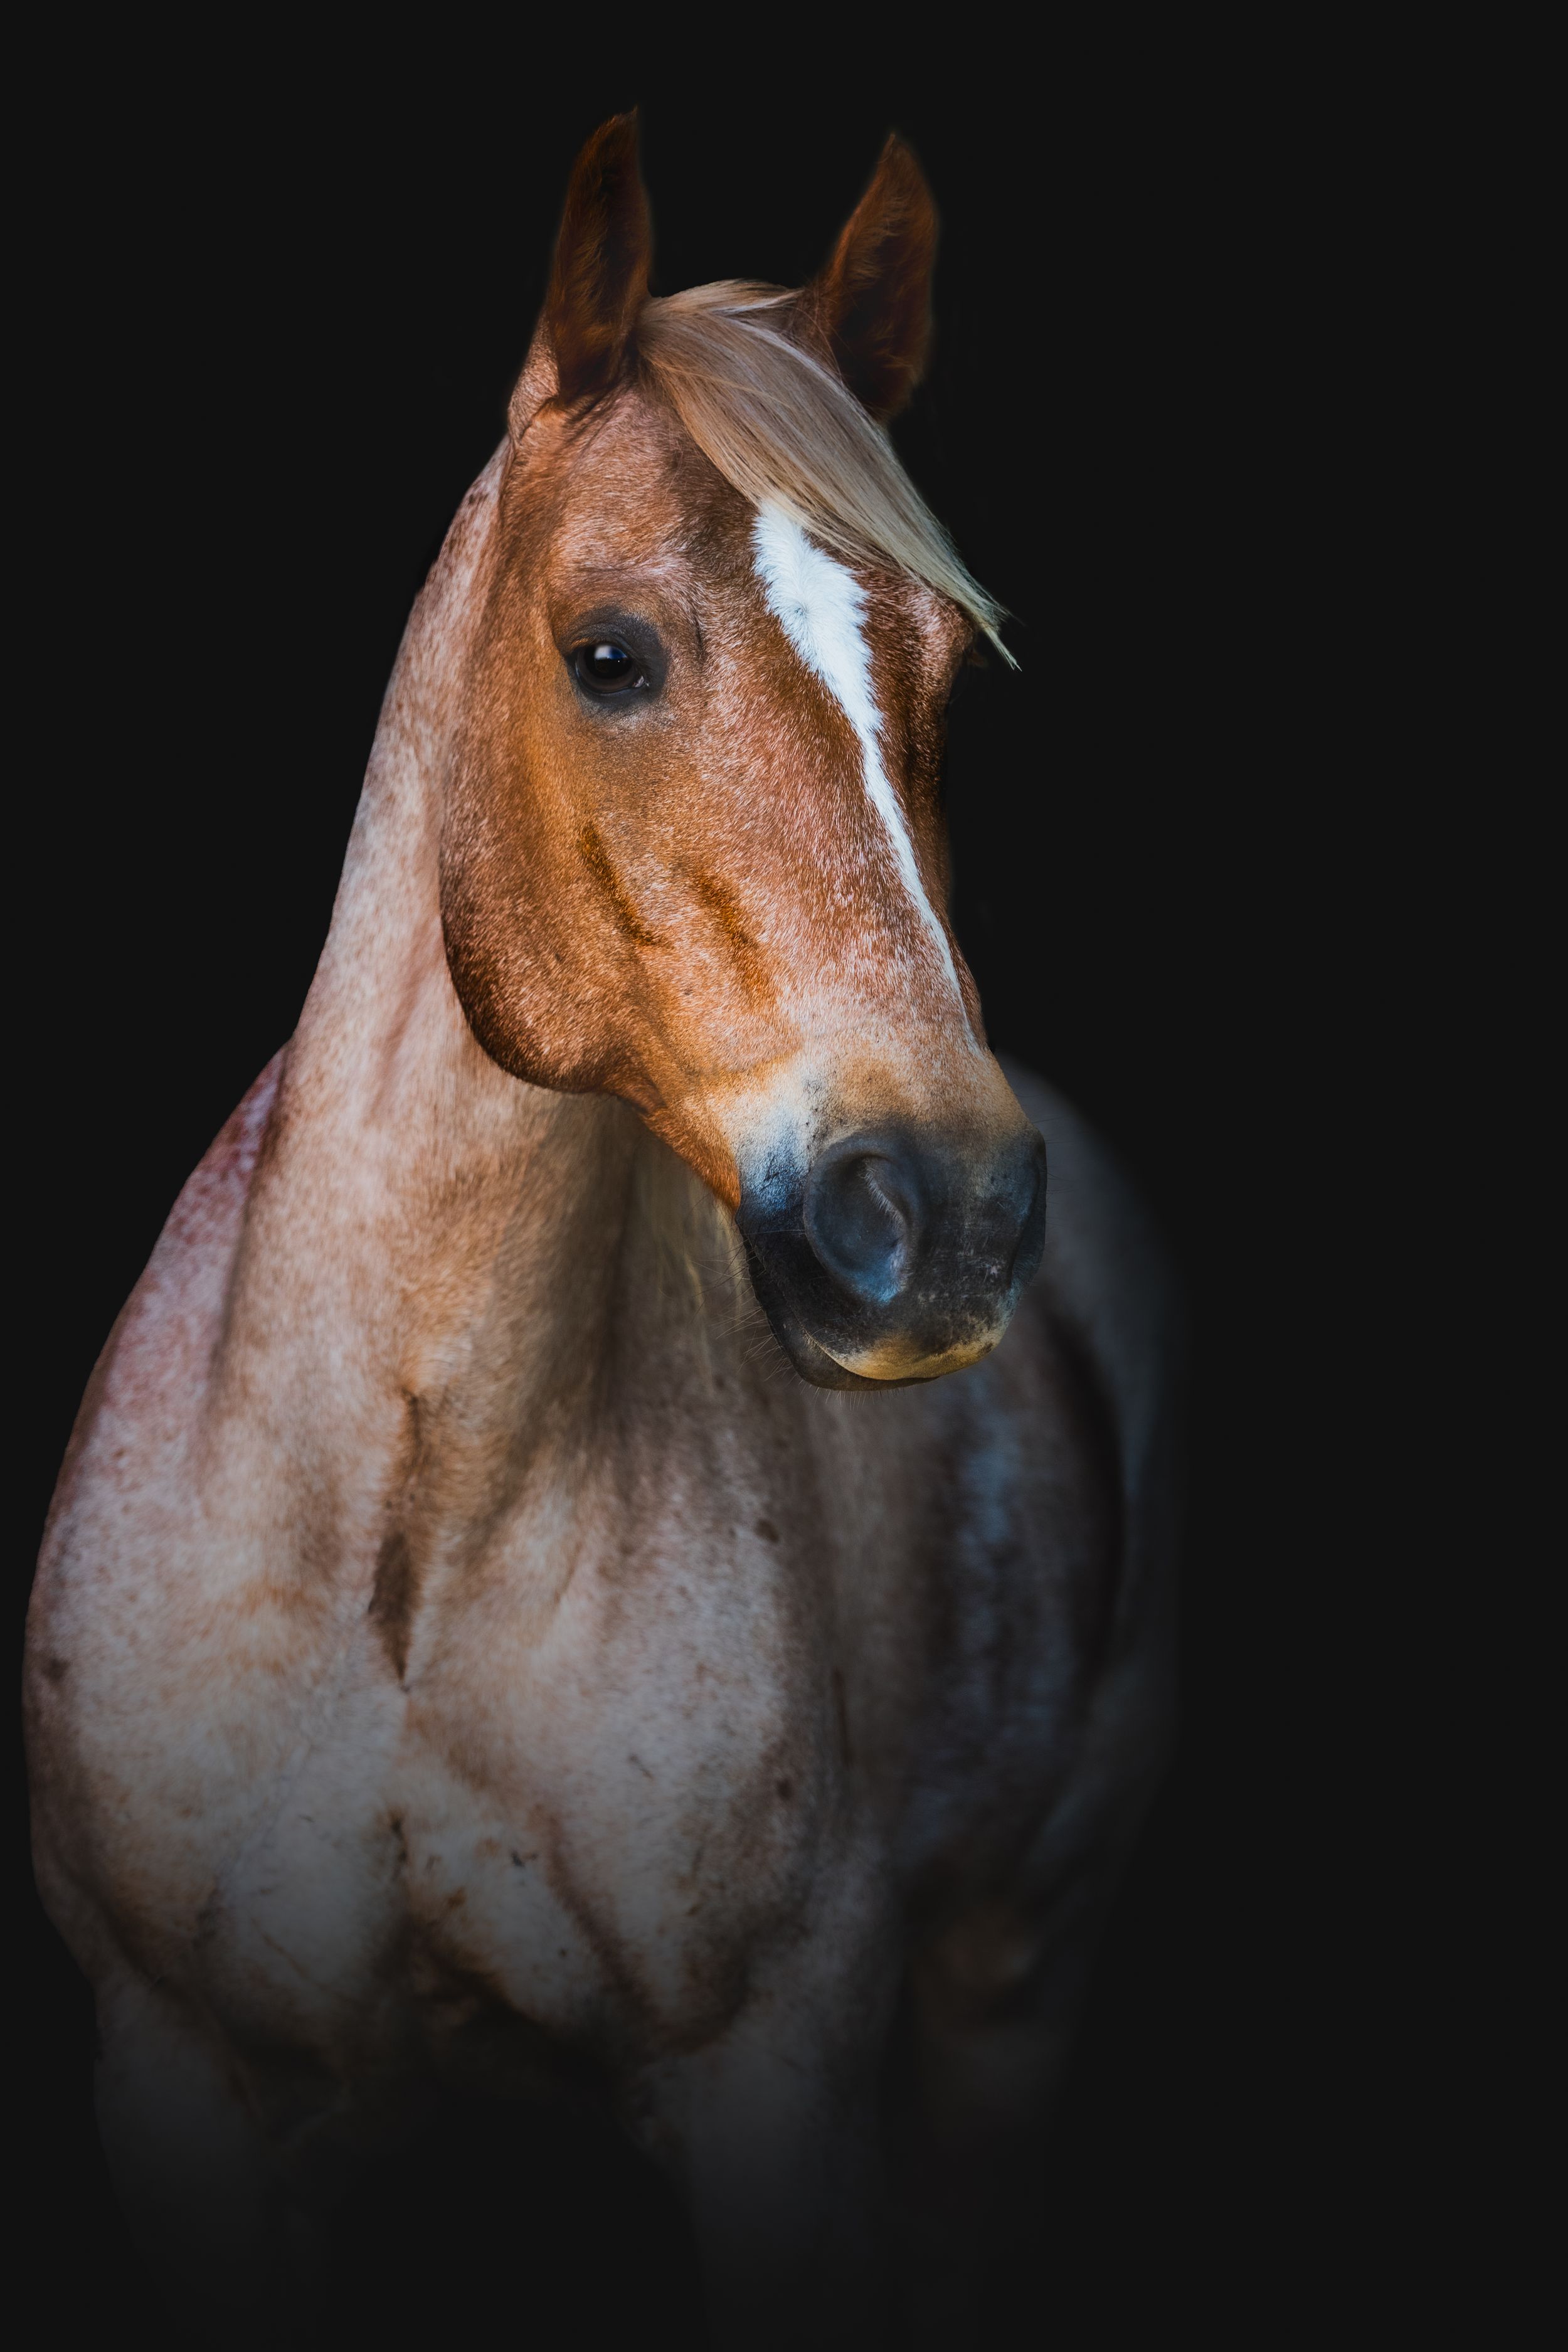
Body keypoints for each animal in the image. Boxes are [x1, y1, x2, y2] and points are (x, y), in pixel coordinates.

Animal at [25, 116, 1181, 2349]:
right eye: (610, 652)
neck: (400, 1545)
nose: (941, 1210)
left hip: (1013, 1977)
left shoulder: (773, 2097)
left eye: (932, 673)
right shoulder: (181, 2083)